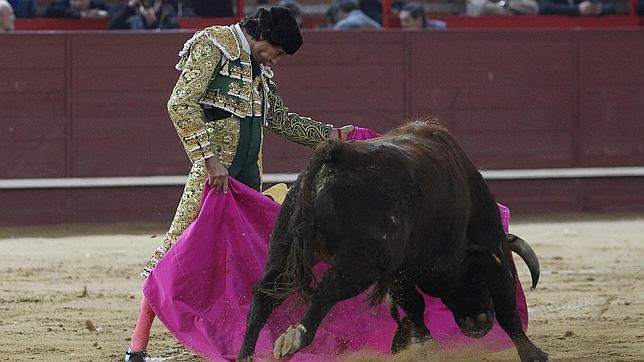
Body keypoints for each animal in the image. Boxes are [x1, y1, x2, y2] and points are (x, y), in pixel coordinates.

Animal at [236, 121, 548, 362]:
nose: (479, 325)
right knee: (328, 288)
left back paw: (246, 355)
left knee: (265, 293)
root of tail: (336, 155)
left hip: (284, 249)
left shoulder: (401, 268)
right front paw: (533, 354)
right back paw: (295, 338)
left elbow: (412, 303)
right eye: (476, 278)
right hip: (364, 262)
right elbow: (507, 305)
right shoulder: (491, 246)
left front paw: (423, 344)